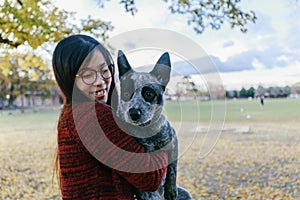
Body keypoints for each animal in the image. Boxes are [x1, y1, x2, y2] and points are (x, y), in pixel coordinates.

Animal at [110, 49, 192, 198]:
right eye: (126, 93)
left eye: (149, 93)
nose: (134, 113)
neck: (148, 131)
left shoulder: (173, 140)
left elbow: (173, 167)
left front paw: (171, 189)